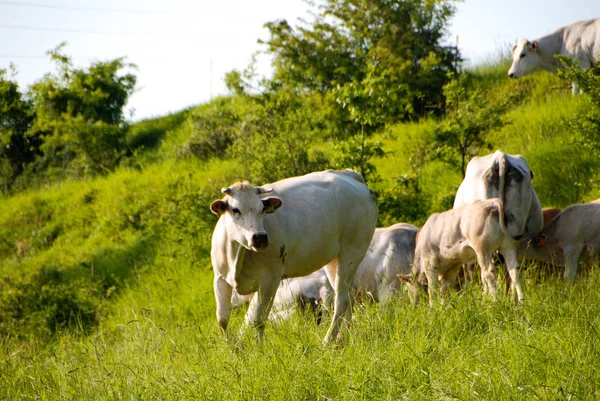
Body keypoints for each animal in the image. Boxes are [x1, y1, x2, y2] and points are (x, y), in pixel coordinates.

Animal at [209, 169, 376, 340]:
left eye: (262, 209)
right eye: (235, 210)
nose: (260, 237)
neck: (237, 254)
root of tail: (347, 175)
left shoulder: (270, 279)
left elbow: (259, 320)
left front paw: (258, 346)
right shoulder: (220, 278)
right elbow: (222, 320)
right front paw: (234, 345)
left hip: (352, 254)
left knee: (341, 300)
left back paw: (328, 341)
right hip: (334, 261)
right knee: (348, 296)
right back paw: (343, 338)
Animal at [454, 150, 544, 300]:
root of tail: (500, 157)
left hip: (487, 244)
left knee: (490, 271)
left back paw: (495, 299)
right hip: (514, 235)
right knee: (514, 270)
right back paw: (517, 300)